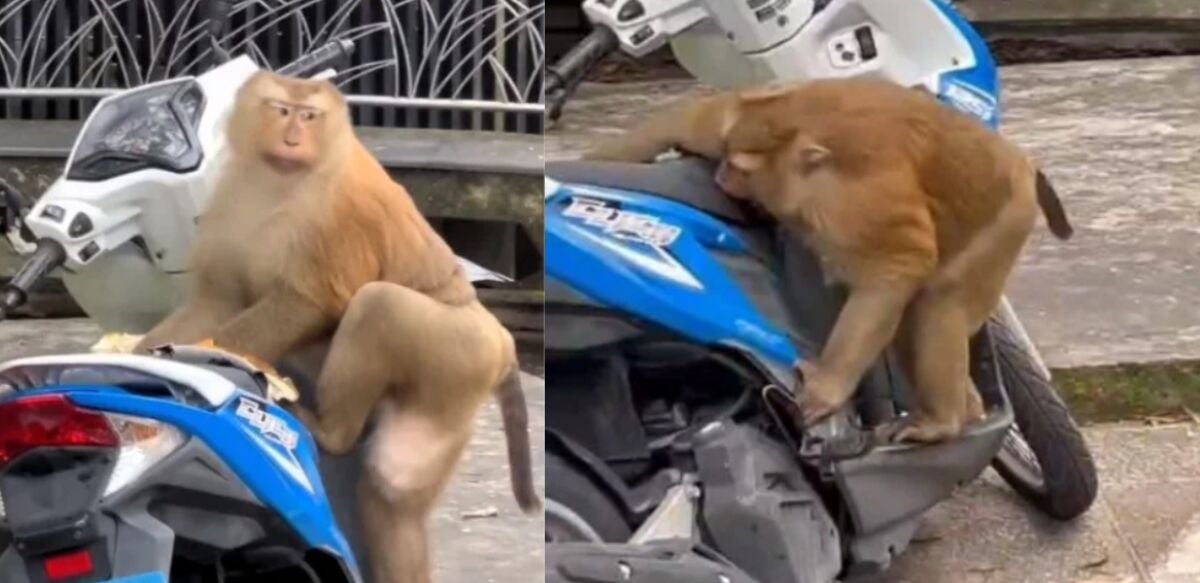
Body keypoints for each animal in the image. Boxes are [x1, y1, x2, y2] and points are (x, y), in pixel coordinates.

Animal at [134, 70, 541, 582]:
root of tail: (501, 340)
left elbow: (311, 299)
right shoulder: (229, 198)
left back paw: (331, 432)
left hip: (457, 353)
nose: (293, 137)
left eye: (309, 116)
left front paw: (206, 357)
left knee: (377, 306)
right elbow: (218, 300)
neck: (280, 180)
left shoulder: (337, 211)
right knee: (392, 493)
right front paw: (129, 352)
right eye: (280, 109)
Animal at [584, 78, 1073, 443]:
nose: (721, 175)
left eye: (740, 168)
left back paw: (943, 422)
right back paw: (965, 411)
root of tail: (1022, 164)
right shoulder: (739, 120)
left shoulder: (857, 205)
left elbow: (900, 267)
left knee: (940, 302)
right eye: (727, 160)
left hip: (1004, 224)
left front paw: (826, 388)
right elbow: (689, 122)